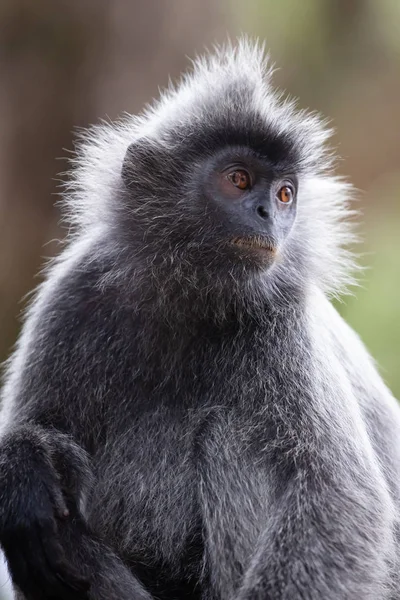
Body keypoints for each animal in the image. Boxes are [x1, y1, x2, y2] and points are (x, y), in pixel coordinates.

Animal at [0, 39, 400, 596]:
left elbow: (338, 496)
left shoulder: (285, 319)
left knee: (230, 435)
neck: (190, 300)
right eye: (238, 180)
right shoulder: (74, 295)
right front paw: (21, 473)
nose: (267, 215)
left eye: (284, 194)